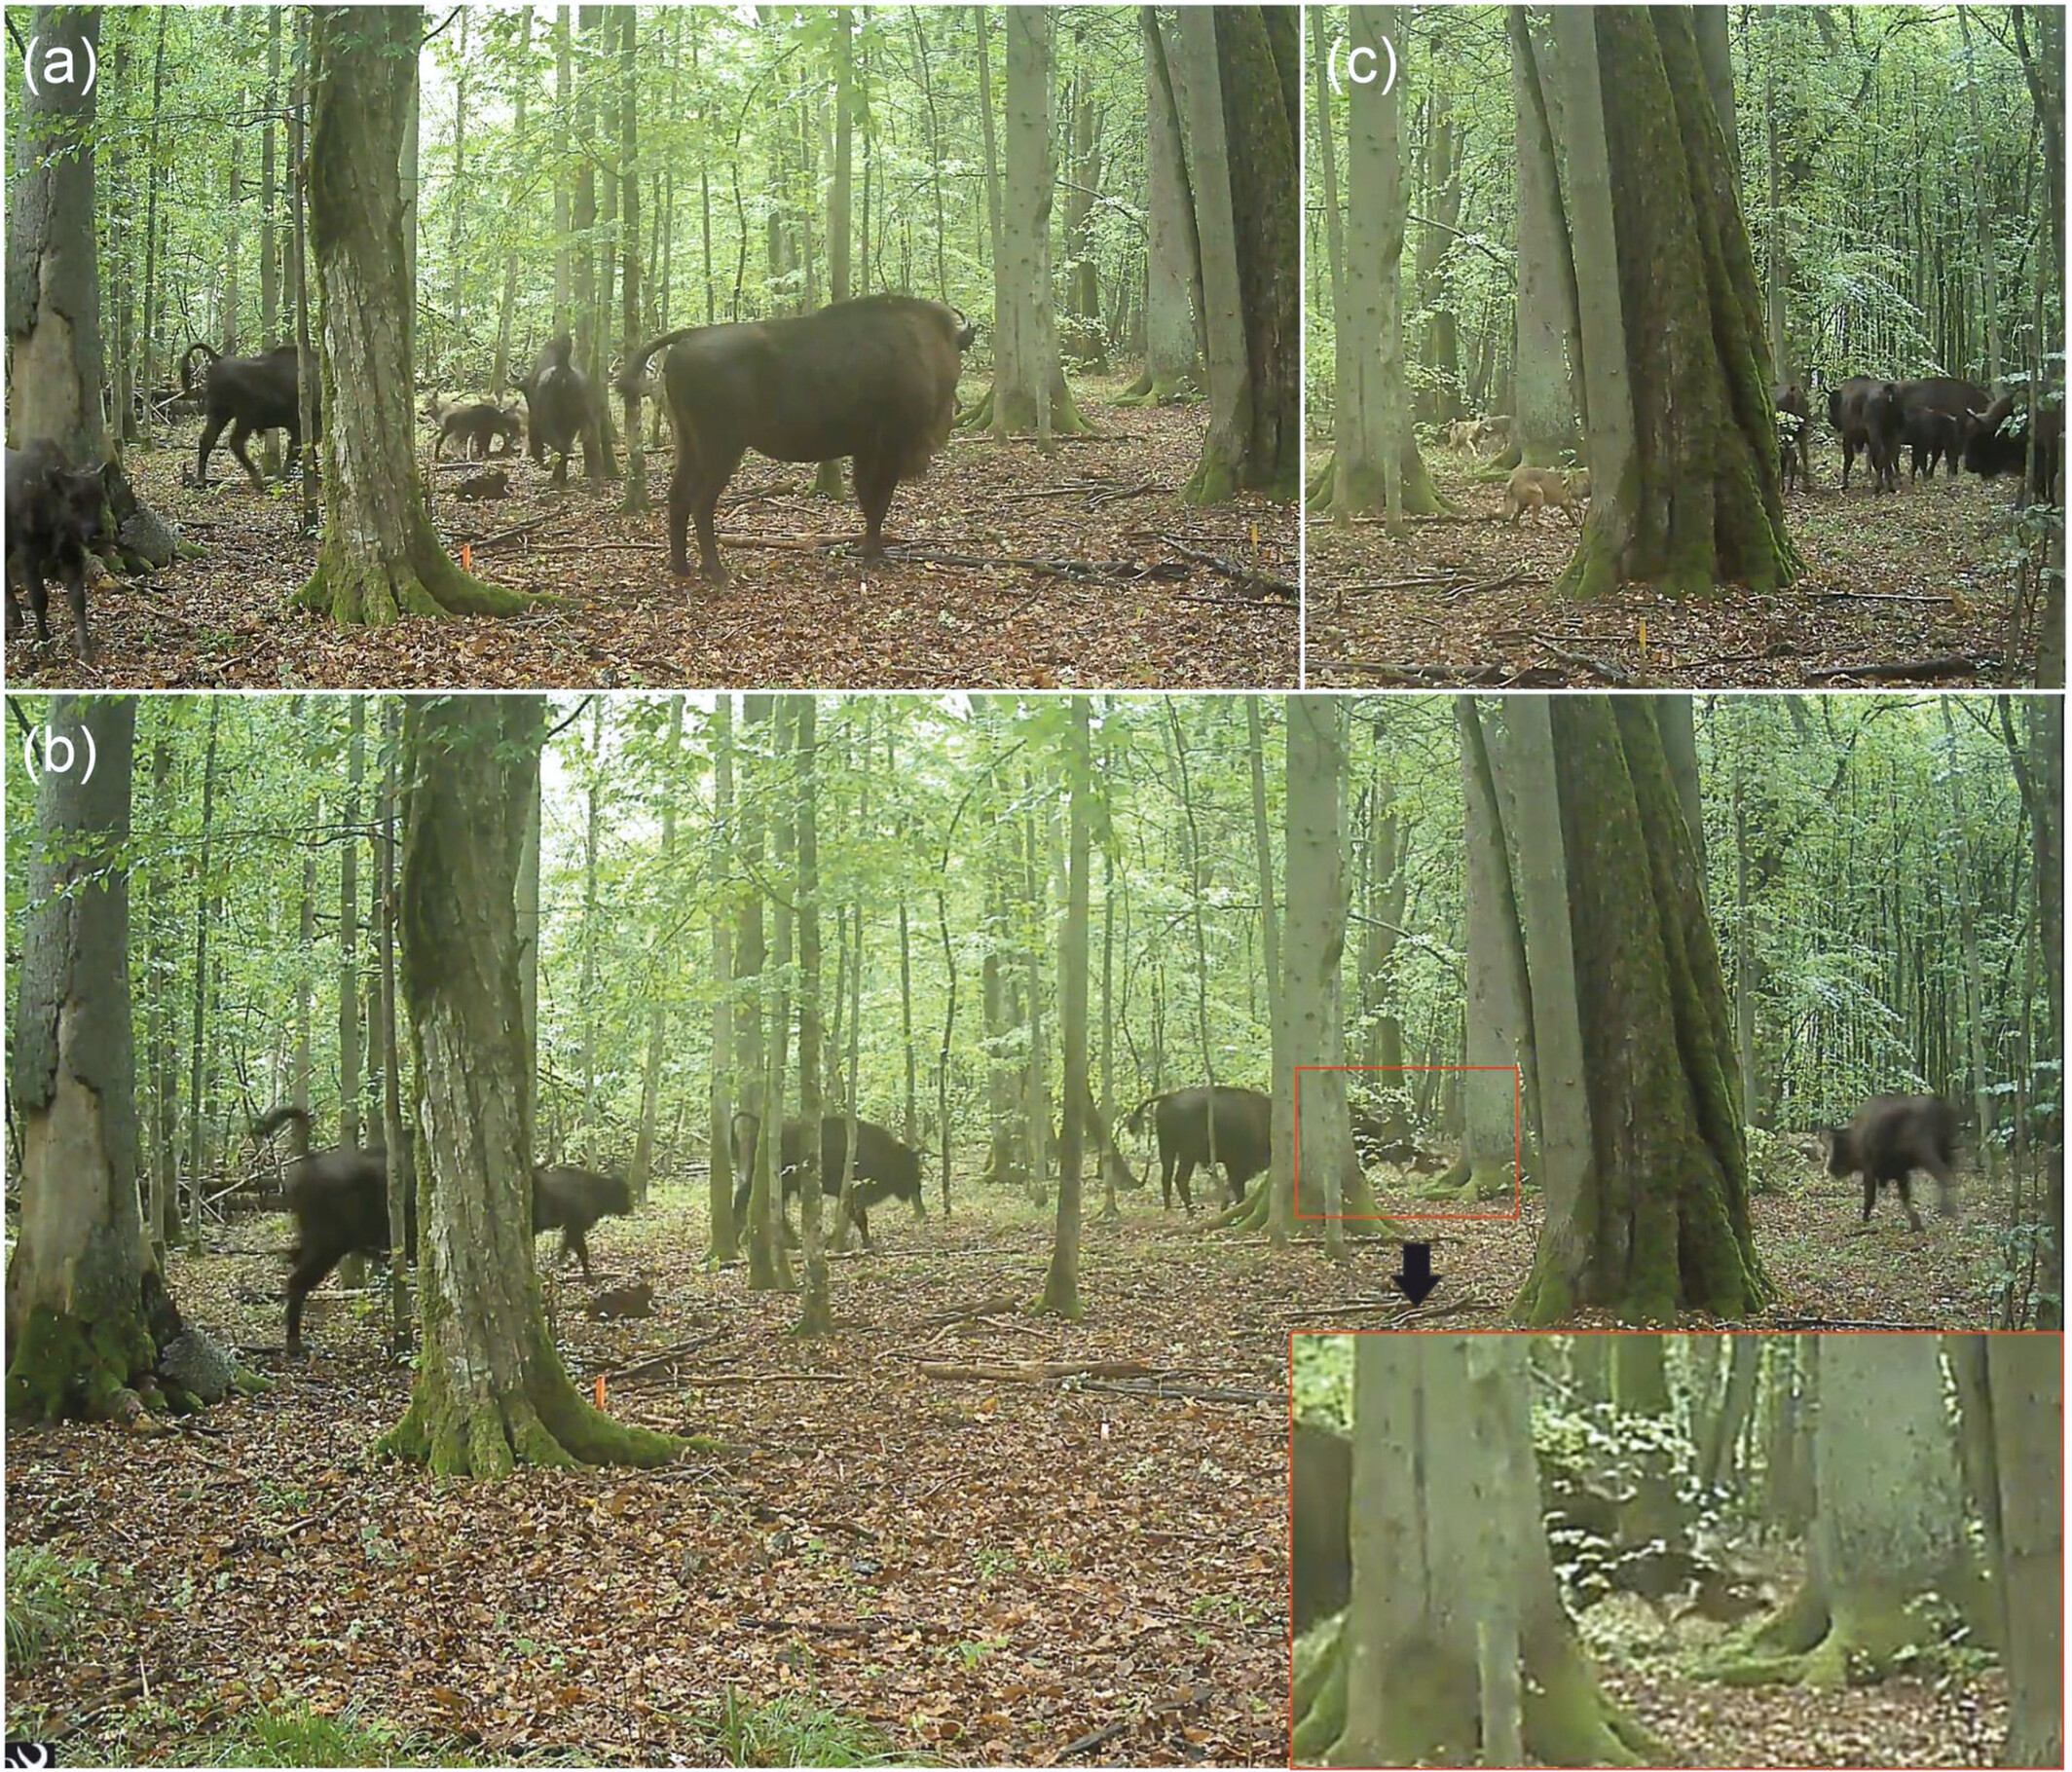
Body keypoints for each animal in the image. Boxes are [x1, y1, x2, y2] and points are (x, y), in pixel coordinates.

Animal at [621, 294, 976, 582]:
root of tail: (690, 337)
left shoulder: (865, 450)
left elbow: (868, 500)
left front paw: (868, 552)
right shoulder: (888, 448)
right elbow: (879, 501)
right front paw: (875, 556)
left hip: (689, 443)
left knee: (678, 496)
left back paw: (681, 567)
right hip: (721, 449)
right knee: (701, 501)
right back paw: (718, 572)